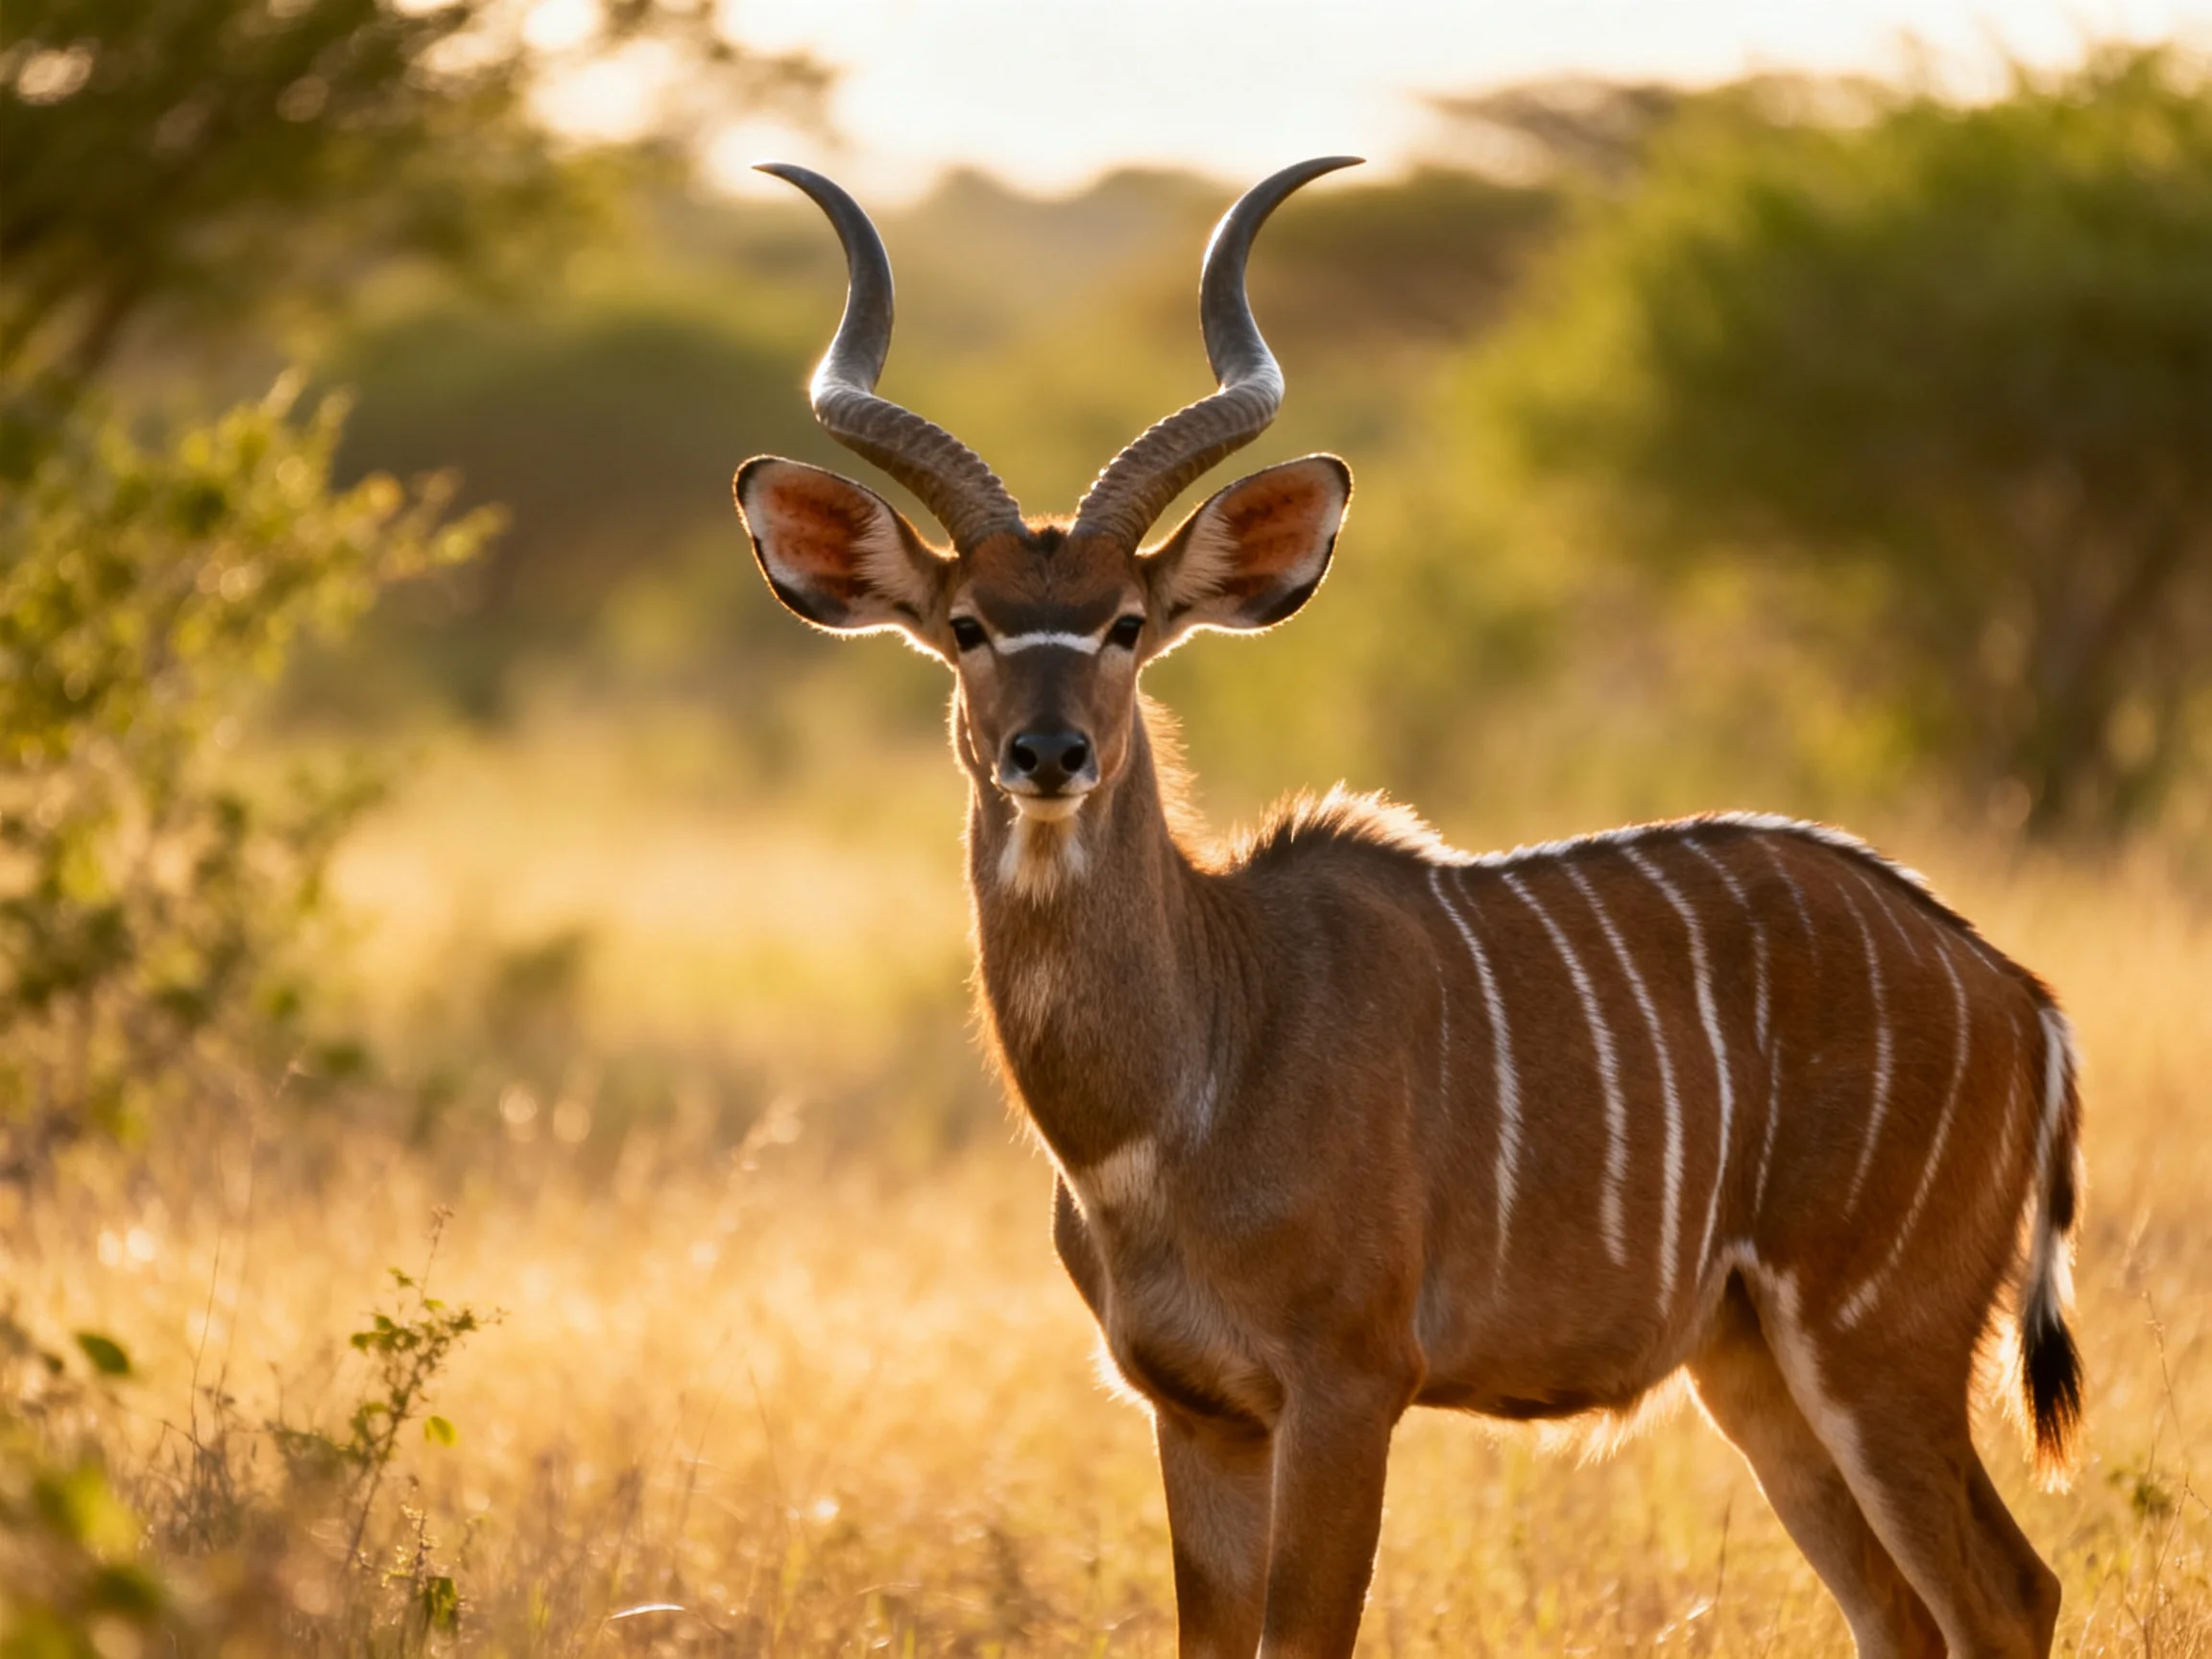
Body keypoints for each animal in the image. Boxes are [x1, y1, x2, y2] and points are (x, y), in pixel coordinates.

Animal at [733, 156, 2085, 1659]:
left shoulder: (1348, 1385)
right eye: (968, 625)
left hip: (1874, 1344)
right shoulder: (1195, 1412)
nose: (1048, 753)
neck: (1198, 1062)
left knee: (2008, 1592)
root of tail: (2019, 997)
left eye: (1127, 625)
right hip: (1753, 1372)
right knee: (1901, 1609)